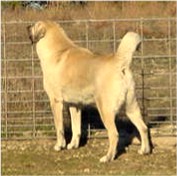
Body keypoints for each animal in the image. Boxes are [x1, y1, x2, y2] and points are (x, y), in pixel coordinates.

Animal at [27, 20, 150, 162]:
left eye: (34, 25)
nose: (27, 27)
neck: (58, 51)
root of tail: (119, 63)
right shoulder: (75, 105)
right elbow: (76, 128)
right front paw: (73, 145)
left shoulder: (56, 101)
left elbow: (59, 127)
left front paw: (59, 146)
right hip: (131, 108)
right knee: (143, 128)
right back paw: (144, 151)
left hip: (105, 110)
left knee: (114, 134)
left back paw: (108, 157)